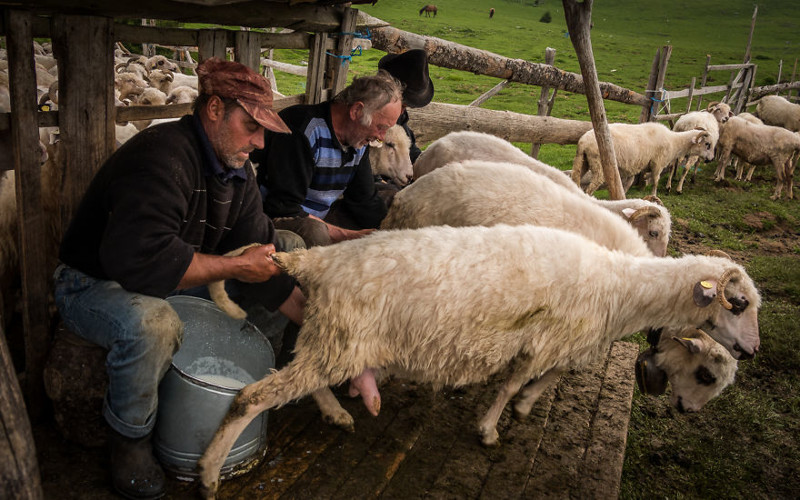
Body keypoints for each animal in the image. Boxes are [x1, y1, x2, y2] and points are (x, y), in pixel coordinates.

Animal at [197, 225, 760, 498]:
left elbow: (552, 377)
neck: (618, 286)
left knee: (300, 378)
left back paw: (336, 412)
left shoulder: (562, 341)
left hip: (333, 338)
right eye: (738, 303)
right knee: (252, 397)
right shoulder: (545, 341)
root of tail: (315, 260)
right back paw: (208, 474)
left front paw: (526, 406)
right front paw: (492, 428)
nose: (750, 351)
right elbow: (511, 387)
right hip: (340, 338)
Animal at [572, 121, 716, 197]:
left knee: (575, 178)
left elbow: (628, 184)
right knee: (590, 187)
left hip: (582, 161)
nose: (711, 159)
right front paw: (653, 196)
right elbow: (656, 181)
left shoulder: (635, 167)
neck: (673, 142)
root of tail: (584, 142)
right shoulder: (657, 164)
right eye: (707, 144)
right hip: (599, 164)